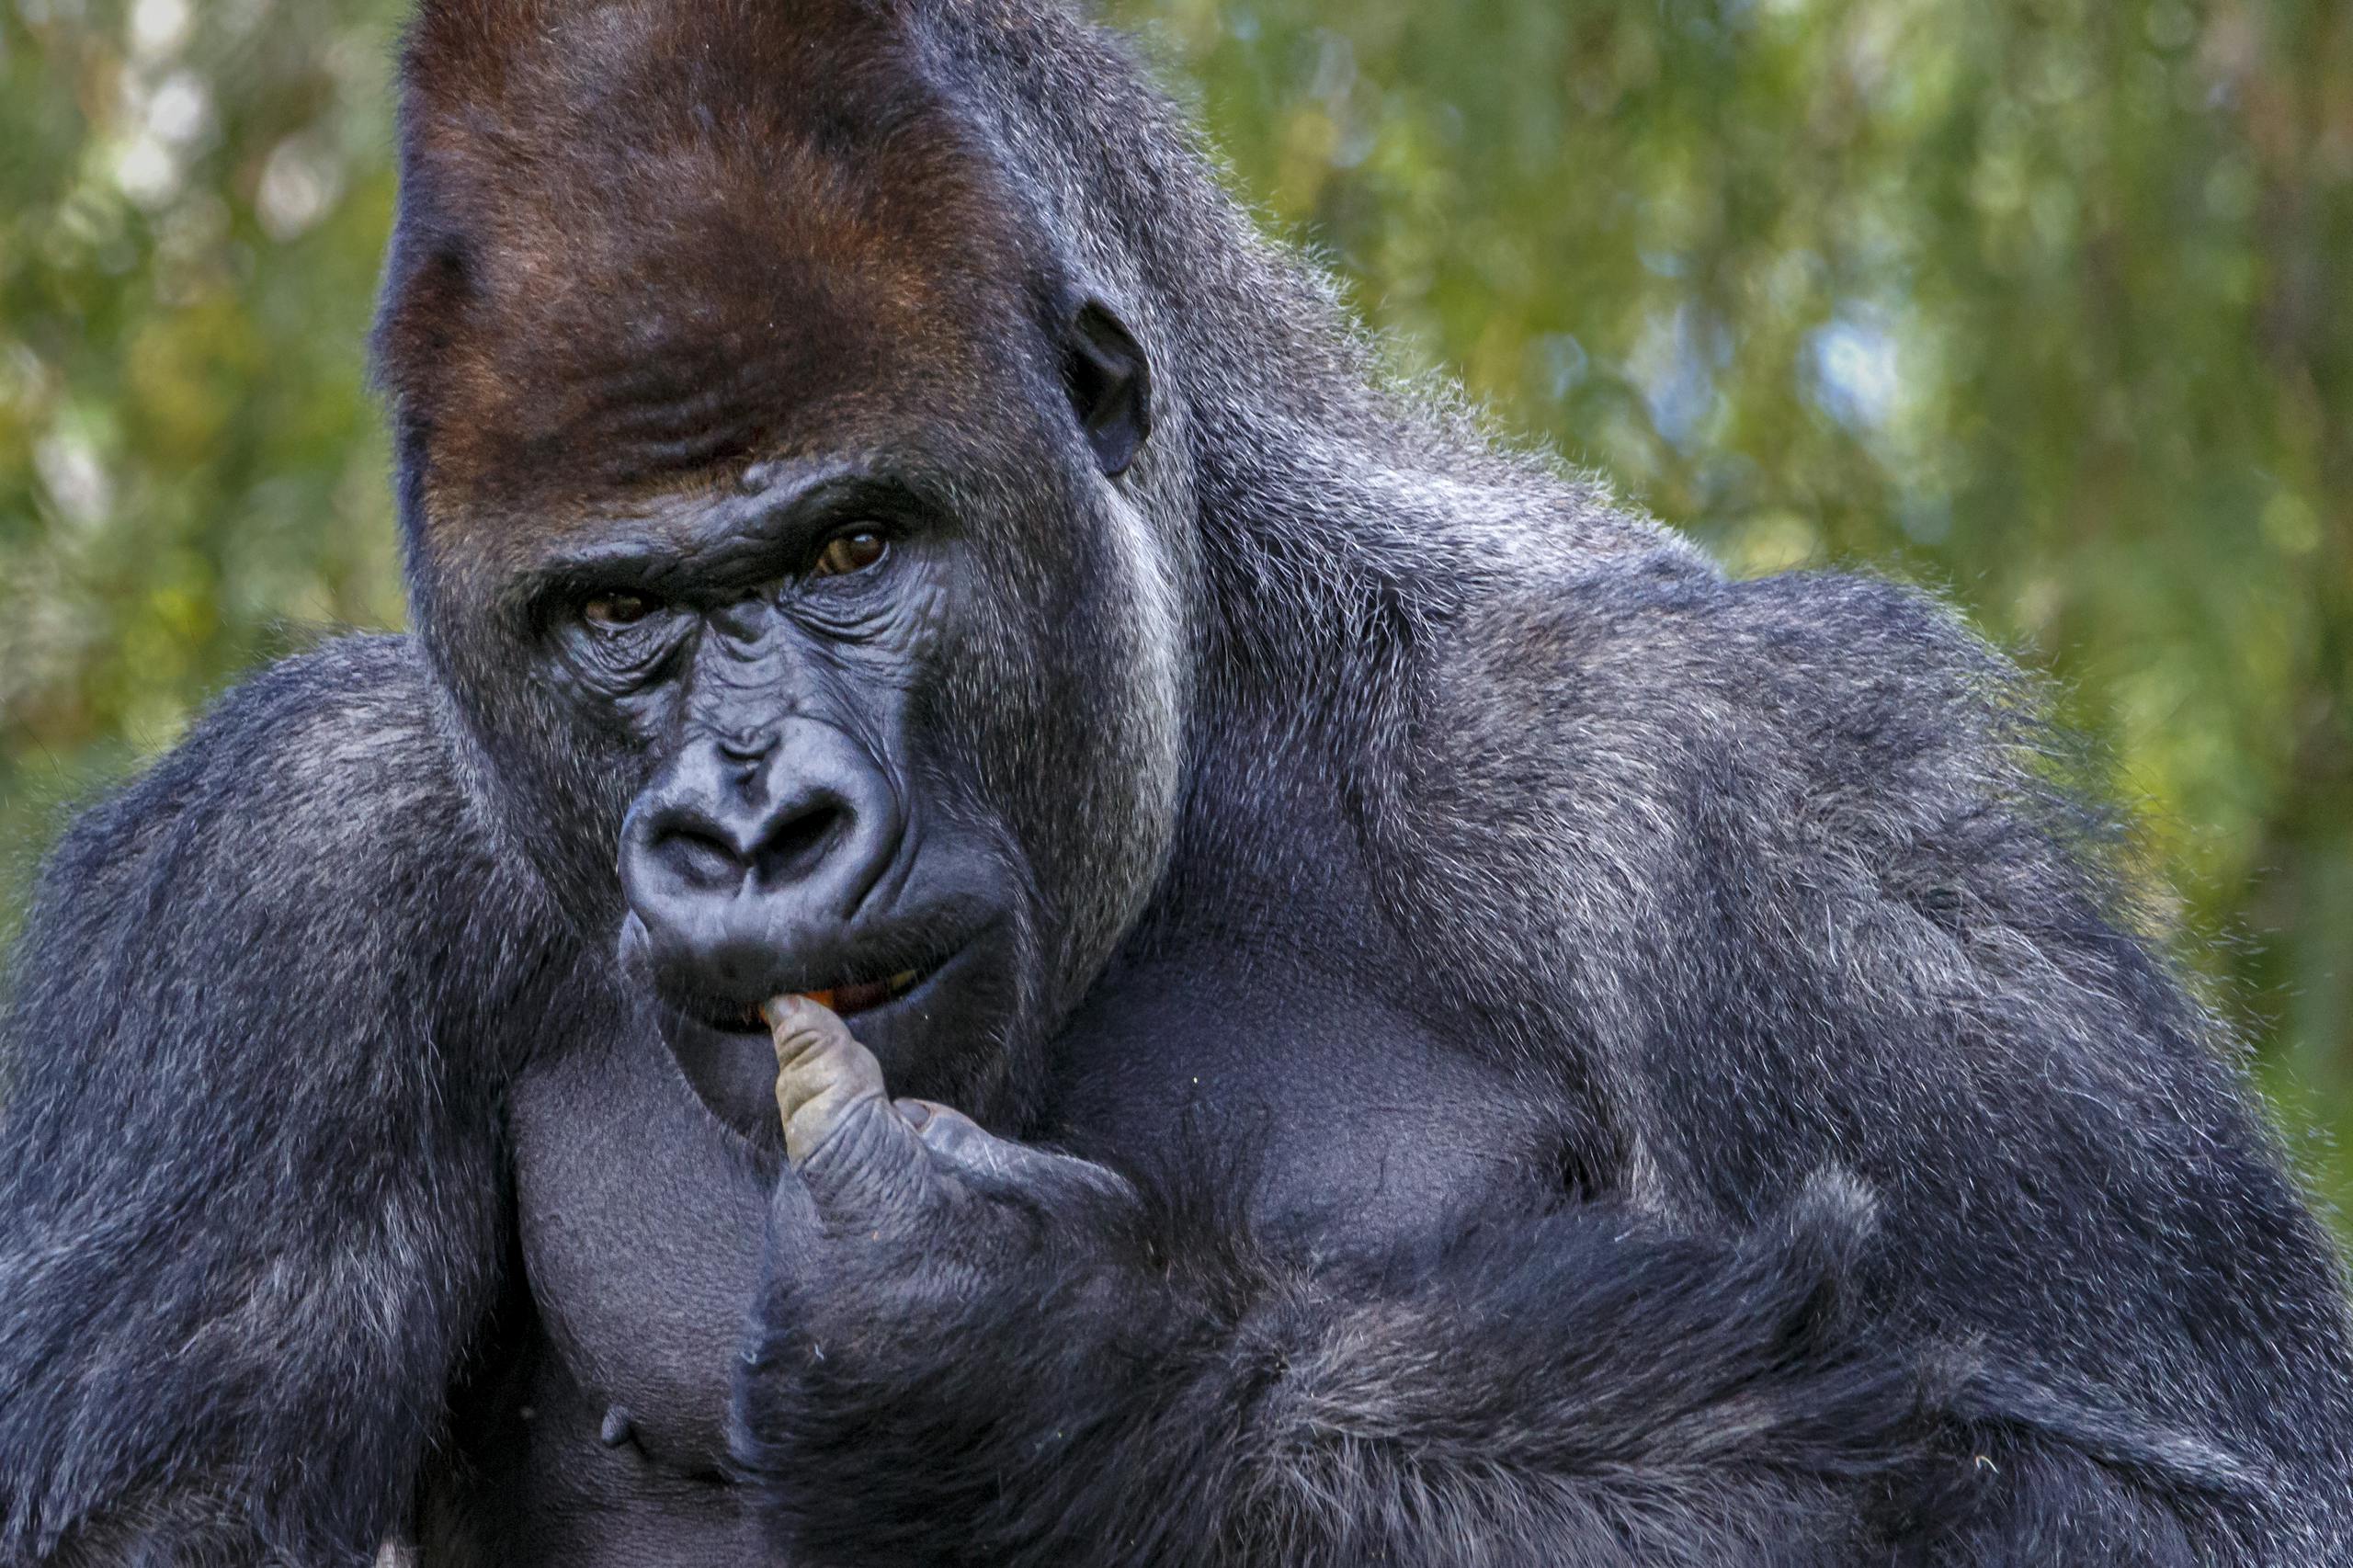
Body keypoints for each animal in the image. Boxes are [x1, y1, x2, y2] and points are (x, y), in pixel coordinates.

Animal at [5, 0, 2353, 1553]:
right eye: (613, 615)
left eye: (850, 549)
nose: (753, 825)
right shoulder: (266, 885)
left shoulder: (1761, 801)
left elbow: (2165, 1492)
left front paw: (1046, 1374)